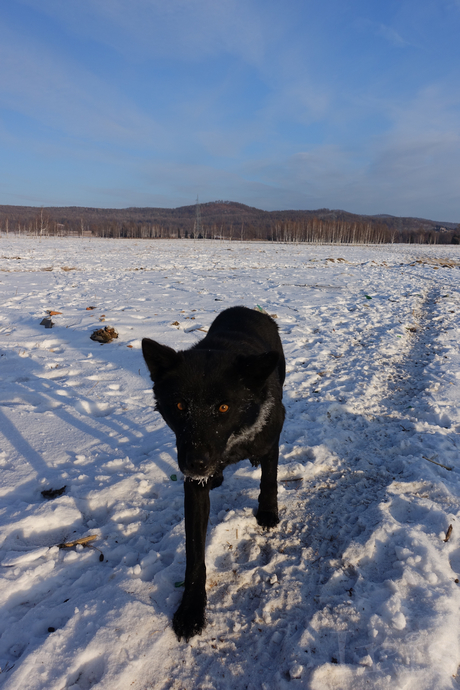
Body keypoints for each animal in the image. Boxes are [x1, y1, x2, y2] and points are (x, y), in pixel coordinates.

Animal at [141, 306, 284, 640]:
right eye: (180, 405)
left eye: (223, 407)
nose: (196, 463)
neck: (232, 442)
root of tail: (246, 309)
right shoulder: (193, 489)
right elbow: (195, 556)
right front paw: (192, 610)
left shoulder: (272, 437)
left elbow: (269, 480)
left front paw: (268, 512)